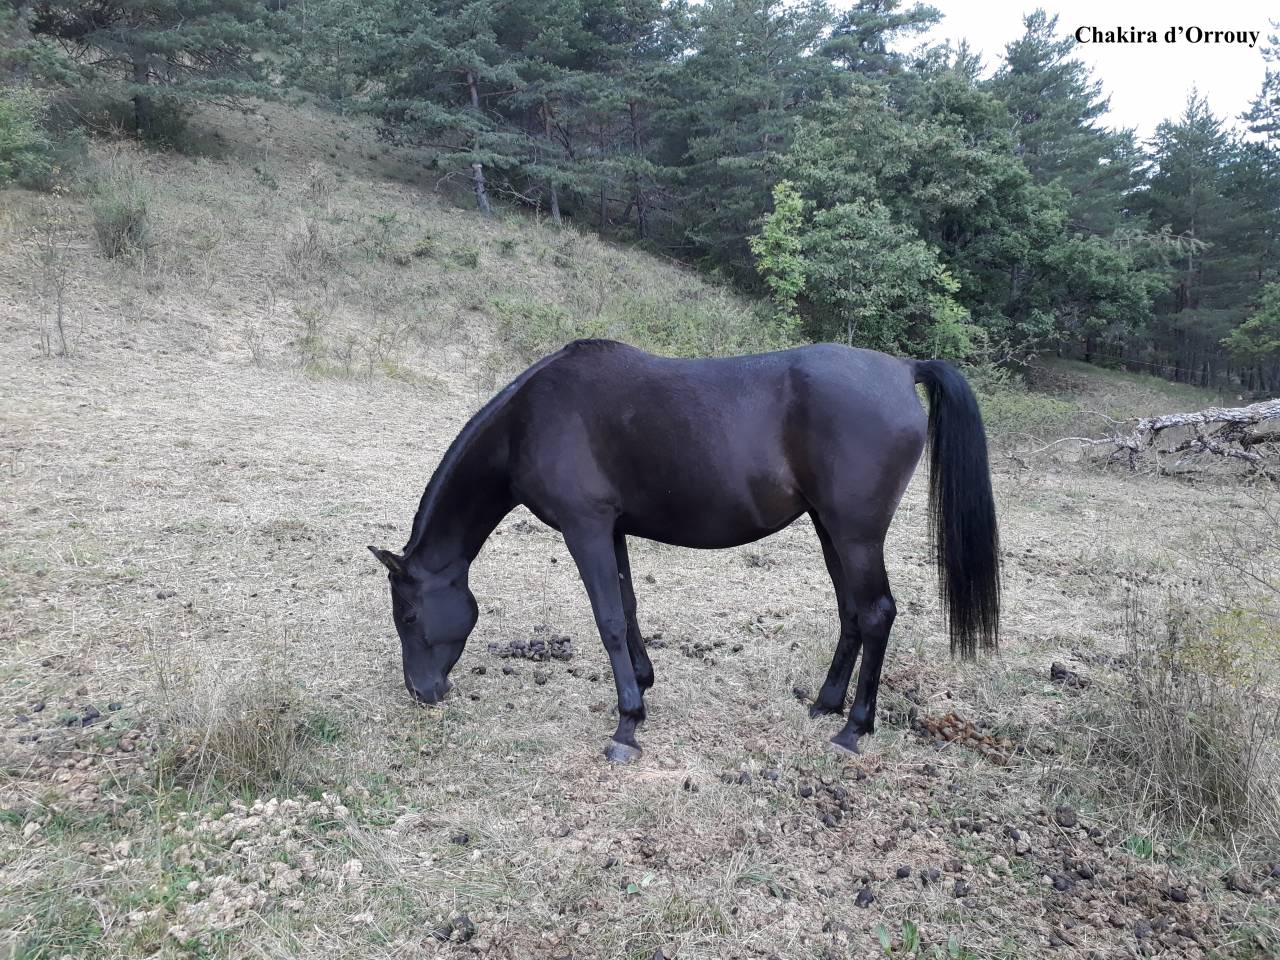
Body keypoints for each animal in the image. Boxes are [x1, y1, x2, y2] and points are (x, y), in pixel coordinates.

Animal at [369, 338, 1000, 762]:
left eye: (407, 616)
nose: (421, 692)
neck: (529, 419)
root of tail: (903, 368)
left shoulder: (585, 527)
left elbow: (607, 620)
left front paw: (626, 725)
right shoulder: (611, 529)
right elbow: (626, 608)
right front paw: (643, 685)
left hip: (855, 533)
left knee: (876, 614)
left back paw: (853, 729)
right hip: (831, 529)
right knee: (851, 613)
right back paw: (826, 703)